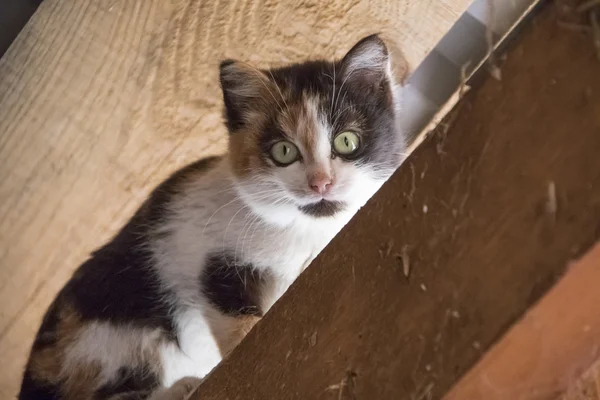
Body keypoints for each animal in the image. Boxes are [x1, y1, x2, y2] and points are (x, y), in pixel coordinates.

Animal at [18, 35, 406, 400]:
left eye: (346, 141)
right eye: (283, 151)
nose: (320, 183)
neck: (299, 231)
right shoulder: (200, 250)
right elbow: (231, 312)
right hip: (108, 327)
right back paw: (179, 388)